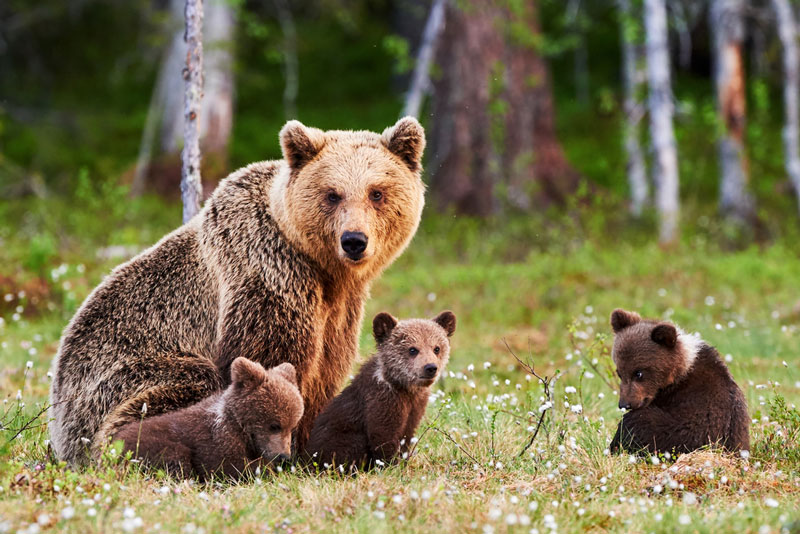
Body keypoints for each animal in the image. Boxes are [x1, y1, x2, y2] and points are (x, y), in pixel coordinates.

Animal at [47, 117, 428, 464]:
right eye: (332, 194)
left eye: (376, 192)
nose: (354, 240)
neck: (321, 268)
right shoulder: (267, 273)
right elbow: (269, 360)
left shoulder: (339, 309)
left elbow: (325, 370)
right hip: (118, 378)